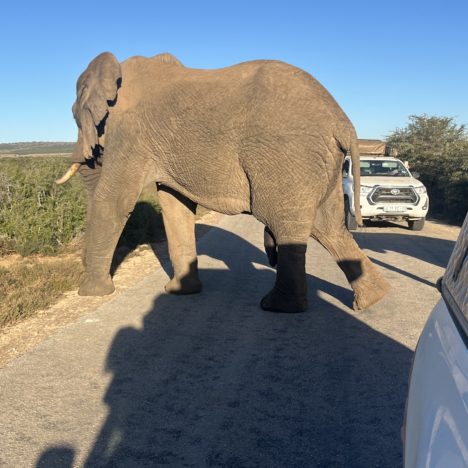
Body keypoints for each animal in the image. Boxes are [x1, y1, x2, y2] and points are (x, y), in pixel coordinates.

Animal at [57, 51, 388, 312]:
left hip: (287, 155)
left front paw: (90, 293)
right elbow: (175, 206)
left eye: (75, 116)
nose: (87, 153)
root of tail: (343, 122)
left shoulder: (131, 134)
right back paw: (370, 299)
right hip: (320, 163)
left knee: (283, 222)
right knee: (328, 226)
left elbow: (112, 201)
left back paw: (278, 307)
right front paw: (179, 292)